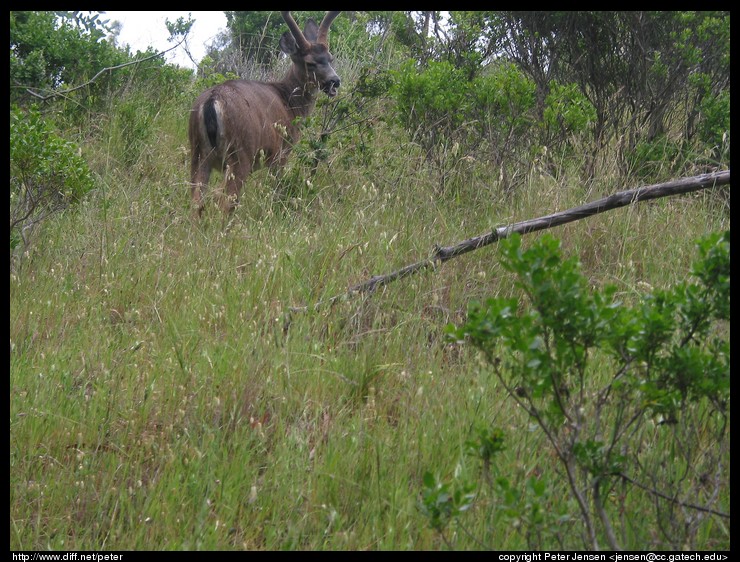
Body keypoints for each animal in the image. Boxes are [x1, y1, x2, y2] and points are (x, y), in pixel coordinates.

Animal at [189, 11, 342, 217]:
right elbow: (276, 189)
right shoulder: (280, 152)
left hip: (197, 152)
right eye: (310, 63)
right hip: (241, 153)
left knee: (196, 202)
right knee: (226, 203)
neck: (290, 103)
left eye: (330, 58)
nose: (335, 81)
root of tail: (212, 100)